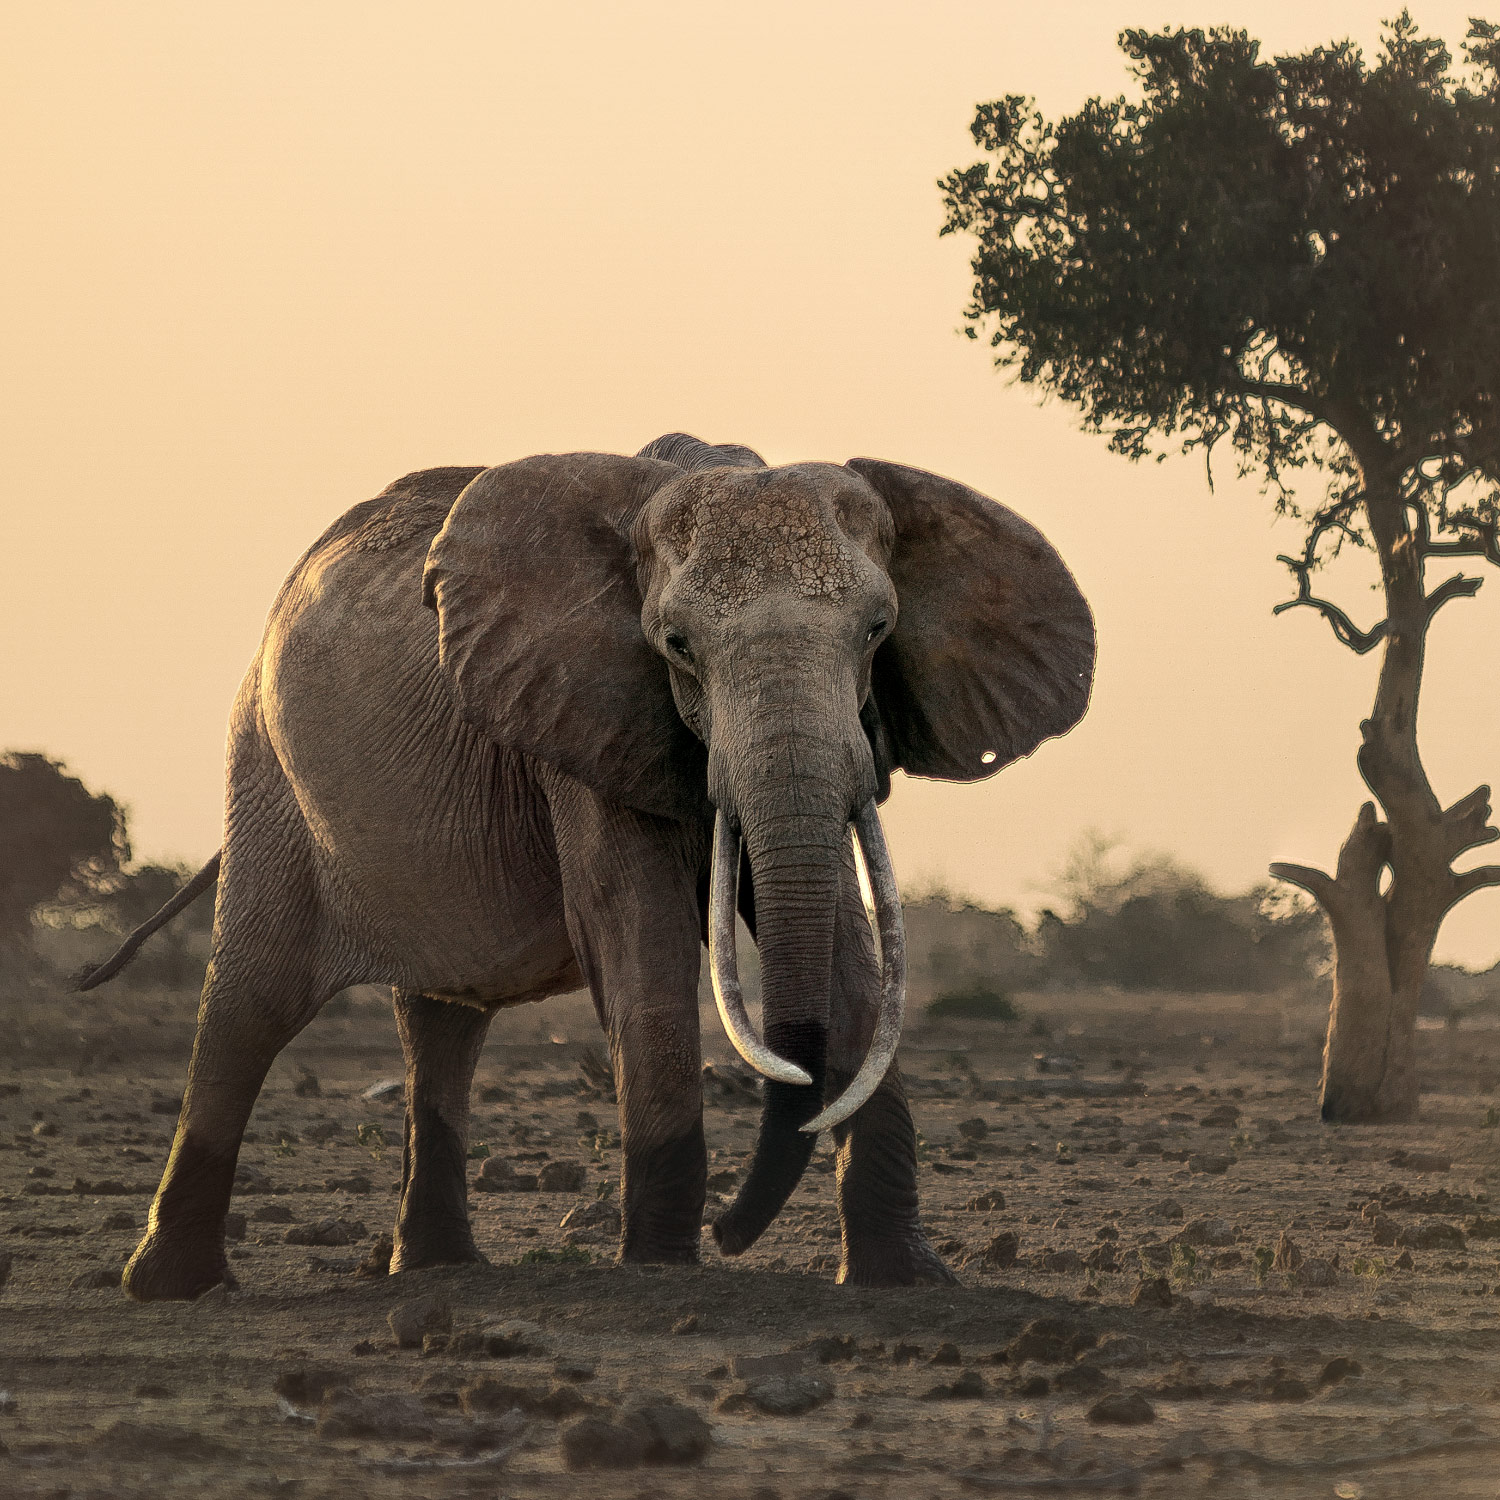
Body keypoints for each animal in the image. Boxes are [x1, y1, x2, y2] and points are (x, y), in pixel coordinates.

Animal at [81, 433, 1094, 1300]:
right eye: (677, 645)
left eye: (879, 631)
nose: (732, 1232)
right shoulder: (576, 712)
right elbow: (638, 934)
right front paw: (661, 1270)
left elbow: (844, 931)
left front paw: (904, 1281)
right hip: (266, 769)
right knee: (253, 999)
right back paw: (177, 1288)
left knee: (441, 1018)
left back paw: (438, 1272)